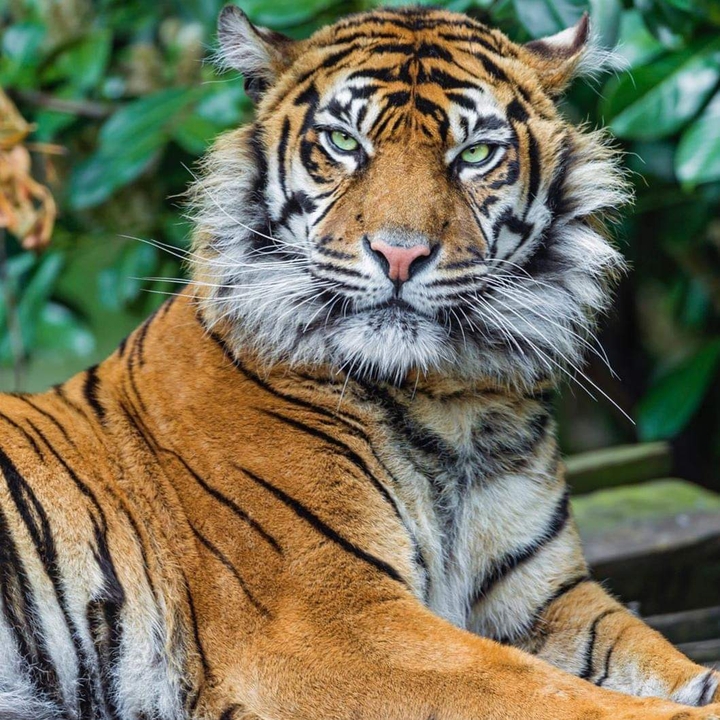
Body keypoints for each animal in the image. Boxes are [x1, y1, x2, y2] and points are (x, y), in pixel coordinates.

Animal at [1, 4, 718, 720]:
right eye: (345, 143)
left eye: (475, 154)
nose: (400, 254)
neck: (453, 398)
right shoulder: (332, 620)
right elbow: (548, 693)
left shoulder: (549, 597)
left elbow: (651, 655)